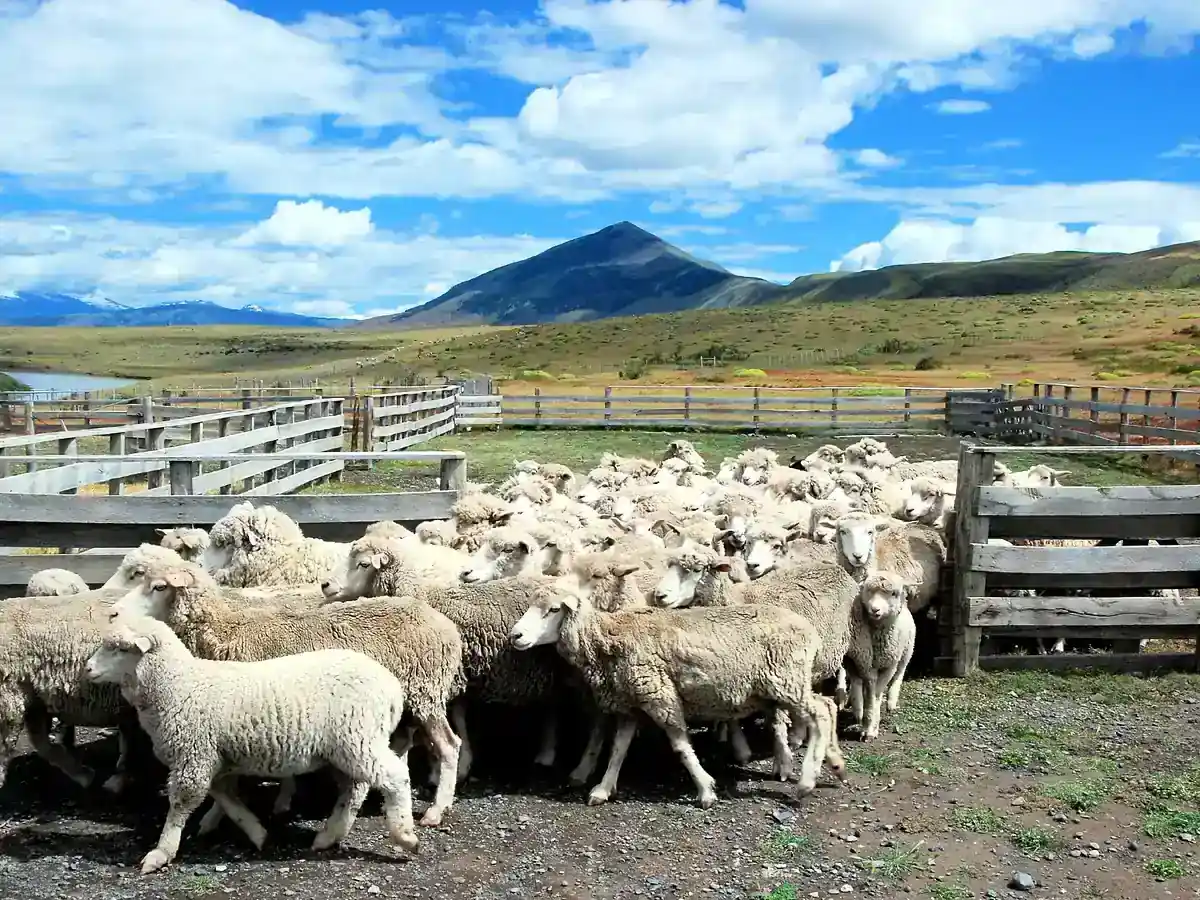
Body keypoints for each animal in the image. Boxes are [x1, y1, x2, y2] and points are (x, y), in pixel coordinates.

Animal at [85, 614, 420, 873]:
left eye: (119, 648)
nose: (87, 668)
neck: (177, 685)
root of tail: (391, 686)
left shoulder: (193, 755)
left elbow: (182, 804)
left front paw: (161, 853)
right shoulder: (214, 756)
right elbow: (225, 797)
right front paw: (256, 833)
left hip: (358, 737)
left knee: (394, 778)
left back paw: (405, 835)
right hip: (345, 746)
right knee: (354, 789)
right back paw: (329, 836)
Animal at [113, 560, 464, 828]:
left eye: (159, 587)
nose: (114, 612)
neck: (226, 629)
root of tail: (444, 624)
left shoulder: (244, 714)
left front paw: (215, 817)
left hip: (426, 691)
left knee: (449, 746)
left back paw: (436, 809)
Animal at [508, 585, 836, 806]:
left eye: (554, 609)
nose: (515, 636)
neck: (607, 639)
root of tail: (810, 631)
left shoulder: (659, 694)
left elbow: (680, 747)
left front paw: (705, 789)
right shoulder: (631, 702)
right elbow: (618, 749)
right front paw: (602, 788)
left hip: (787, 679)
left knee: (821, 711)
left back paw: (807, 782)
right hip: (787, 682)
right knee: (828, 706)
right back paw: (836, 765)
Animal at [846, 573, 917, 741]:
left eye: (893, 593)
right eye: (868, 590)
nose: (875, 609)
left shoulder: (888, 666)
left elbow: (876, 696)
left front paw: (872, 727)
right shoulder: (865, 664)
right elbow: (868, 694)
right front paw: (865, 721)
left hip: (906, 651)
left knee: (899, 673)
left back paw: (891, 701)